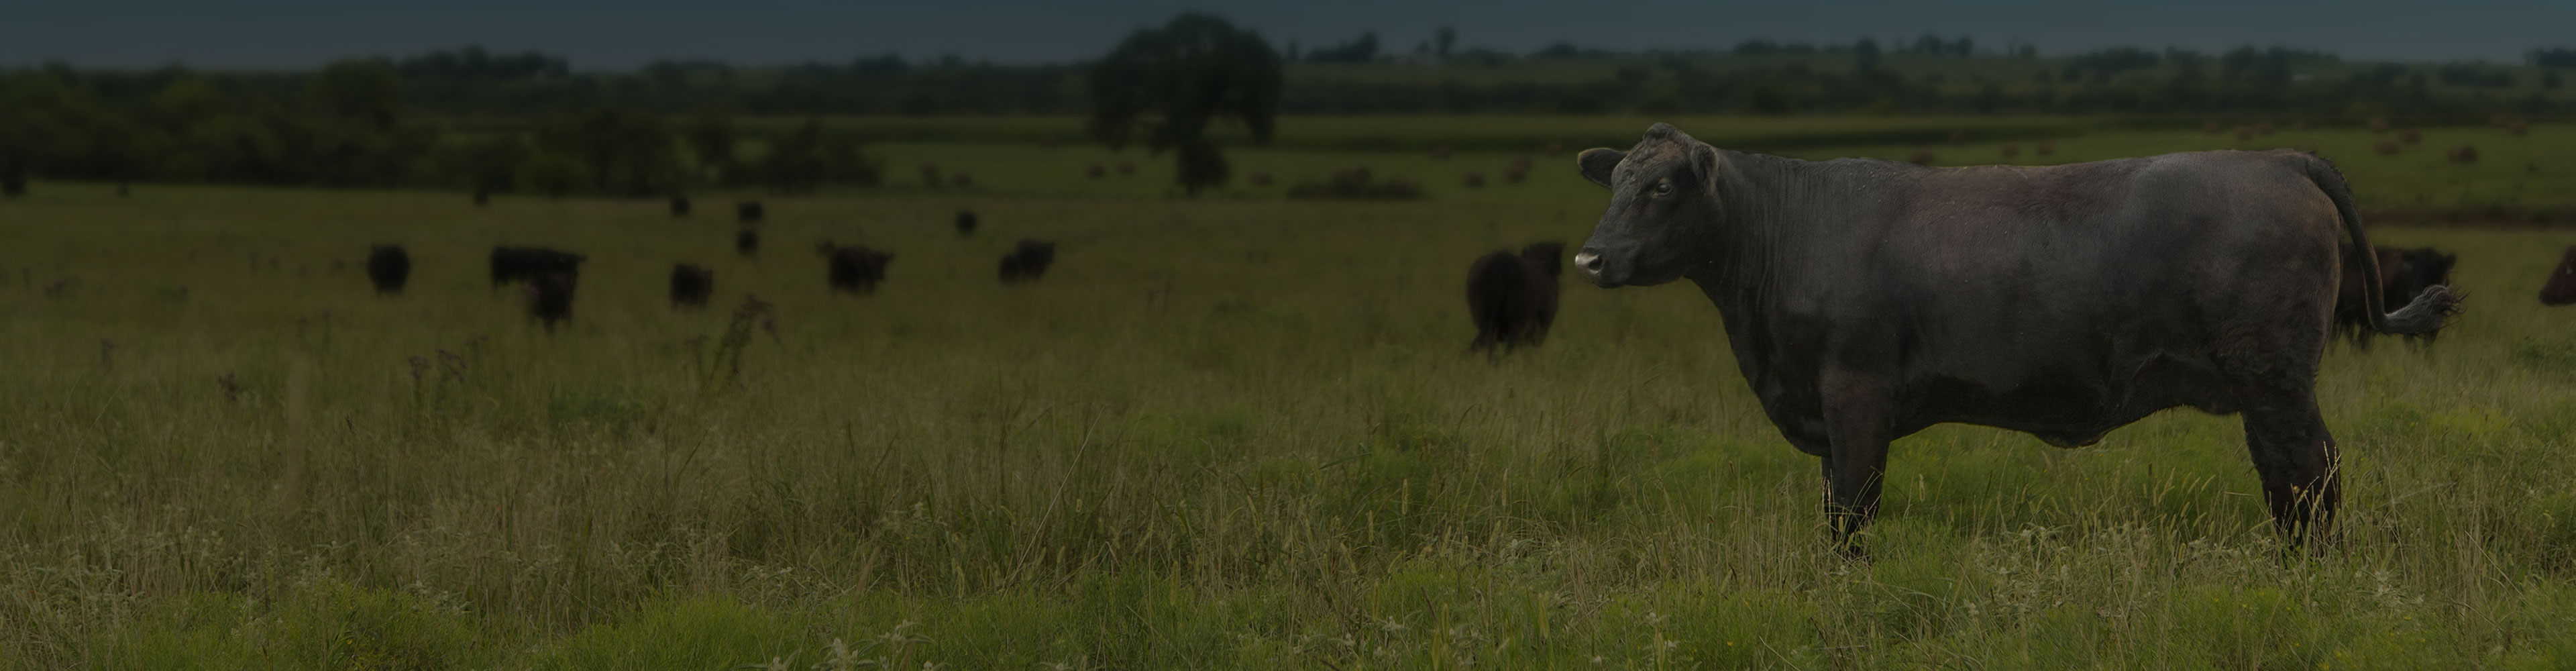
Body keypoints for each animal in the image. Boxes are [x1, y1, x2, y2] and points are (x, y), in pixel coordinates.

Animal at [1466, 241, 1564, 354]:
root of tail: (1502, 261)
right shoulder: (1541, 326)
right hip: (1516, 323)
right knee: (1509, 348)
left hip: (1486, 320)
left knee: (1489, 343)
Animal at [1570, 123, 2458, 553]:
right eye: (1616, 183)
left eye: (1660, 186)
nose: (1590, 257)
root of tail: (2278, 157)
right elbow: (1834, 507)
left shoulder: (1857, 394)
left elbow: (1853, 512)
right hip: (2264, 388)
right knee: (2289, 481)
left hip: (2277, 380)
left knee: (2312, 475)